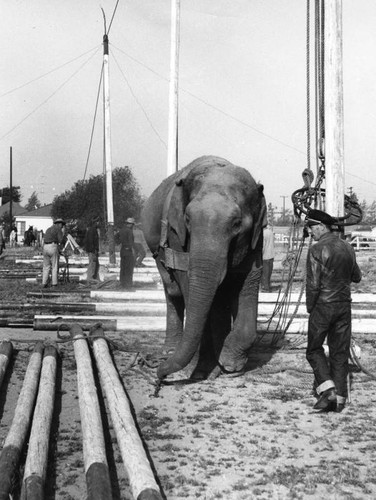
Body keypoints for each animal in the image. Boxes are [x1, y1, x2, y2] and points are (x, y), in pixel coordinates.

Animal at [141, 155, 268, 378]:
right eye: (187, 219)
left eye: (237, 224)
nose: (159, 374)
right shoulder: (176, 234)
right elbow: (188, 283)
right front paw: (196, 370)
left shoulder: (256, 238)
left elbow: (248, 279)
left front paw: (229, 366)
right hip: (156, 249)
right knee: (173, 292)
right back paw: (170, 351)